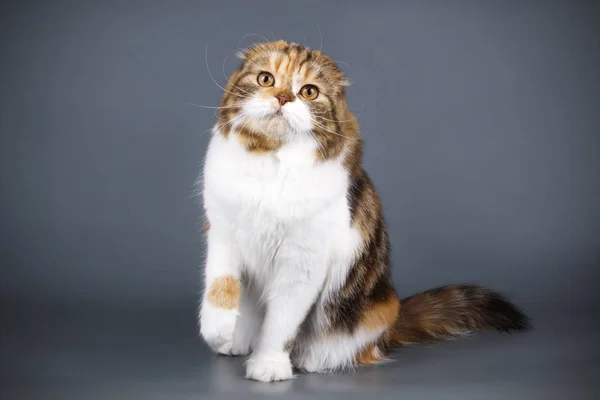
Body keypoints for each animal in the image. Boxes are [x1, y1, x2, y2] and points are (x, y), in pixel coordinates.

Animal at [198, 40, 528, 382]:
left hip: (375, 313)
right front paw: (218, 331)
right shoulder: (222, 234)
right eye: (266, 79)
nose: (283, 98)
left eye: (309, 92)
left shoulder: (303, 261)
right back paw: (237, 343)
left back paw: (311, 358)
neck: (272, 162)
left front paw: (270, 364)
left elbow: (281, 322)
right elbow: (220, 286)